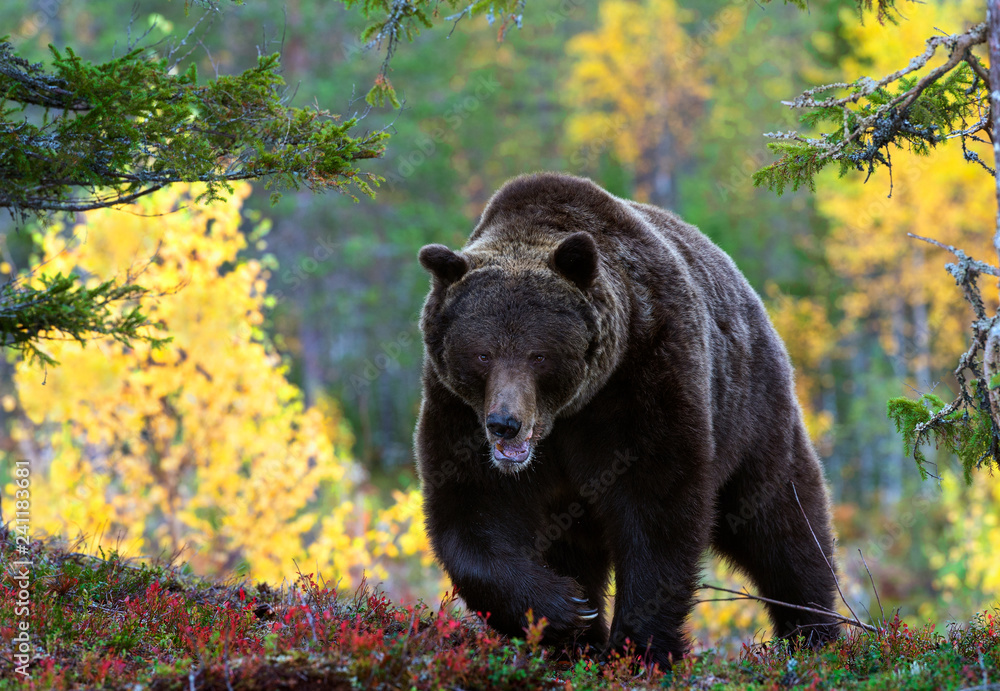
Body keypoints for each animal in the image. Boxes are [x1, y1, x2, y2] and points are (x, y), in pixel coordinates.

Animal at [414, 172, 839, 668]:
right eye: (482, 354)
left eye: (538, 354)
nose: (506, 423)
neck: (566, 416)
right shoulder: (458, 413)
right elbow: (470, 513)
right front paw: (567, 610)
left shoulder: (644, 382)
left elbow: (657, 510)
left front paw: (640, 647)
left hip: (752, 414)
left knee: (783, 523)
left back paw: (815, 633)